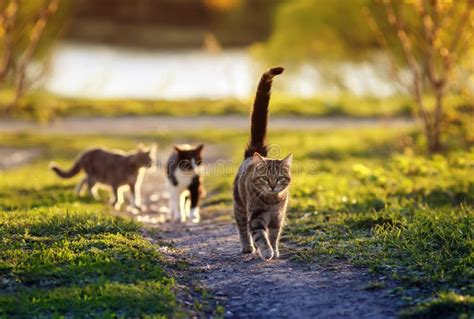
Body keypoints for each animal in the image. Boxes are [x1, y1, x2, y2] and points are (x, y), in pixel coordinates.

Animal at [233, 66, 292, 262]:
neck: (272, 201)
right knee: (242, 228)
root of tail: (254, 151)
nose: (273, 186)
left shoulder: (277, 219)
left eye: (280, 178)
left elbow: (273, 236)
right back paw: (247, 247)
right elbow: (261, 236)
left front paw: (275, 251)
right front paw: (266, 252)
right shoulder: (256, 218)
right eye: (266, 178)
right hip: (240, 206)